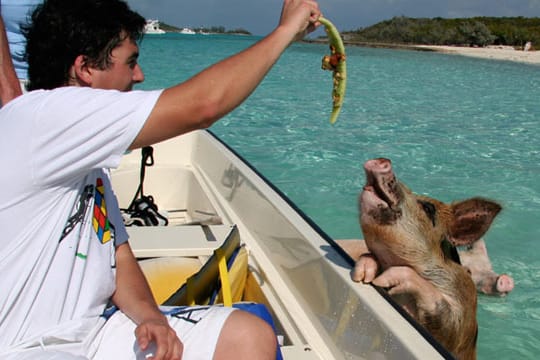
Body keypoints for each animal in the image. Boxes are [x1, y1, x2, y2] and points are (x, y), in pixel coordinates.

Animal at [352, 158, 500, 360]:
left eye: (428, 208)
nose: (382, 160)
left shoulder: (459, 324)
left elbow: (443, 314)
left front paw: (384, 280)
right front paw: (364, 273)